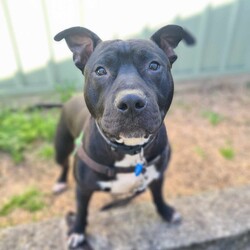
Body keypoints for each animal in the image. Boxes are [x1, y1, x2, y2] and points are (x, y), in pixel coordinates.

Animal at [53, 24, 195, 248]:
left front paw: (166, 212)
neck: (130, 149)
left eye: (154, 65)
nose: (131, 102)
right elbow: (82, 211)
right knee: (64, 164)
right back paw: (60, 181)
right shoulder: (83, 189)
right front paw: (77, 231)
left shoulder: (157, 176)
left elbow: (158, 196)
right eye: (100, 70)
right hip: (61, 146)